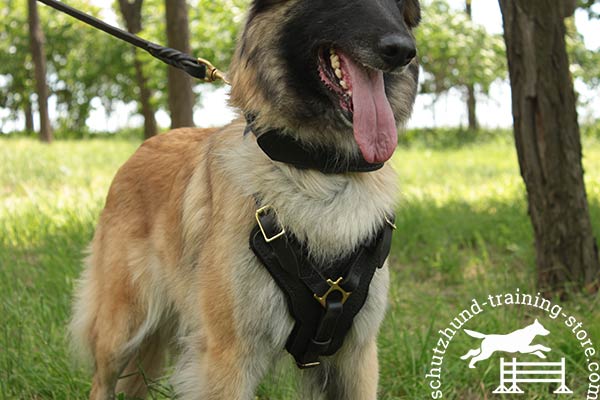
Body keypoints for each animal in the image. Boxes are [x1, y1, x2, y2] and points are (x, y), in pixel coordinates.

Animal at [71, 1, 422, 398]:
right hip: (123, 326)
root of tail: (144, 146)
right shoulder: (228, 358)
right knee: (102, 380)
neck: (318, 171)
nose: (403, 52)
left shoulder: (355, 355)